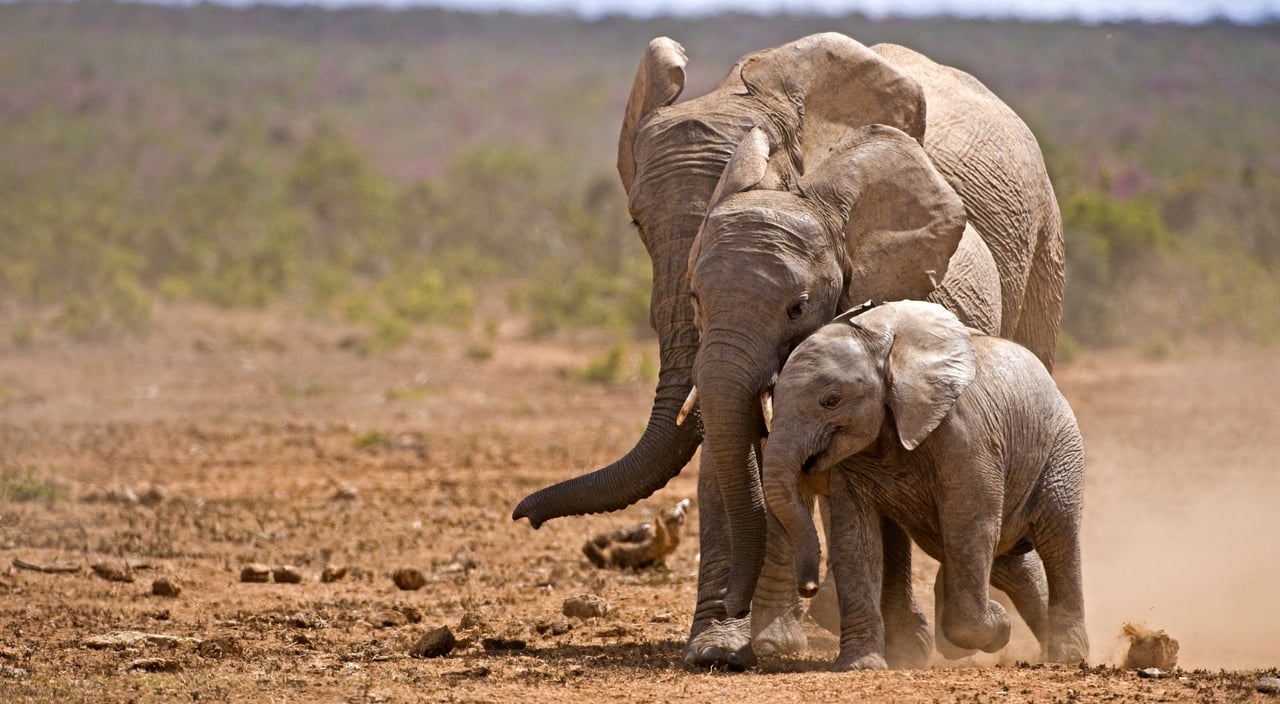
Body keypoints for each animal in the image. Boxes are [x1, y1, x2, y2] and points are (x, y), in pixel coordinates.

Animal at [762, 302, 1085, 675]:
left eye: (831, 401)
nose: (809, 587)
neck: (886, 351)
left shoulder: (967, 435)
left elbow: (971, 524)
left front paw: (999, 626)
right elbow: (856, 539)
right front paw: (861, 666)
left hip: (1062, 447)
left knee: (1057, 538)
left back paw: (1066, 655)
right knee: (1012, 561)